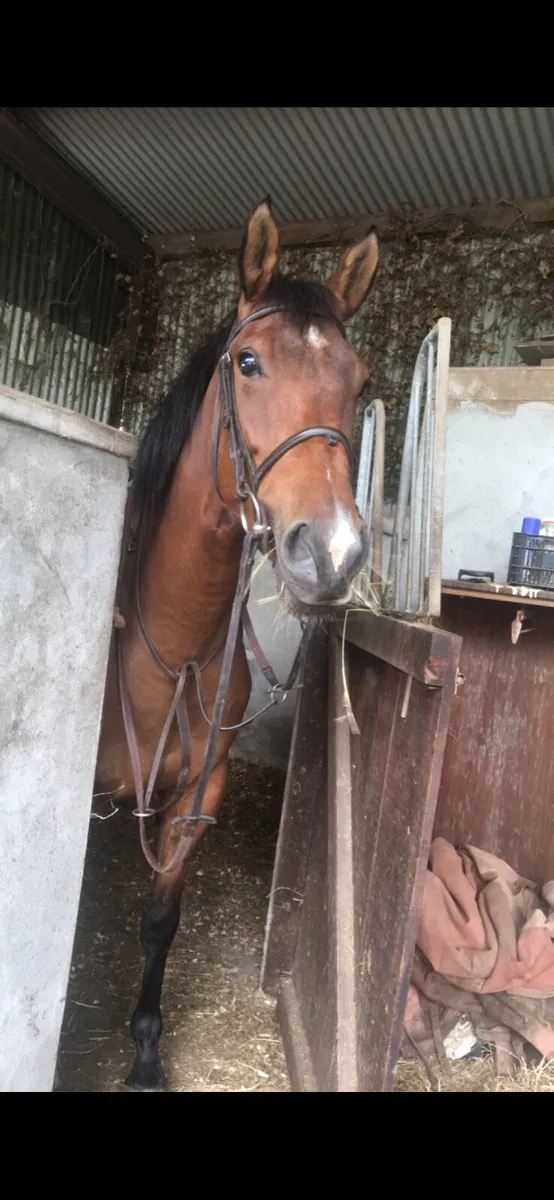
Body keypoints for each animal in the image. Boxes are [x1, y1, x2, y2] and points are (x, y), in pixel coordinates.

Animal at [95, 198, 380, 1091]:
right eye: (248, 362)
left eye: (360, 381)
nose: (332, 553)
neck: (171, 648)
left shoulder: (198, 795)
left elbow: (160, 917)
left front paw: (146, 1052)